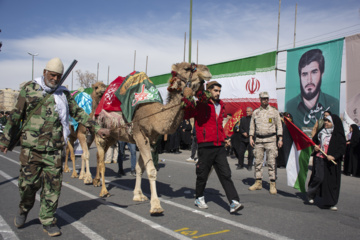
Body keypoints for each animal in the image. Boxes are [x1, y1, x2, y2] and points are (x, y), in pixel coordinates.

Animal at [92, 61, 214, 214]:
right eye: (187, 68)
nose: (207, 70)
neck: (154, 116)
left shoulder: (148, 140)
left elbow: (139, 168)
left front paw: (138, 195)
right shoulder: (139, 134)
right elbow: (151, 170)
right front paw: (156, 206)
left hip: (111, 135)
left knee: (98, 156)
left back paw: (96, 181)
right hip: (100, 131)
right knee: (101, 160)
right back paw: (103, 190)